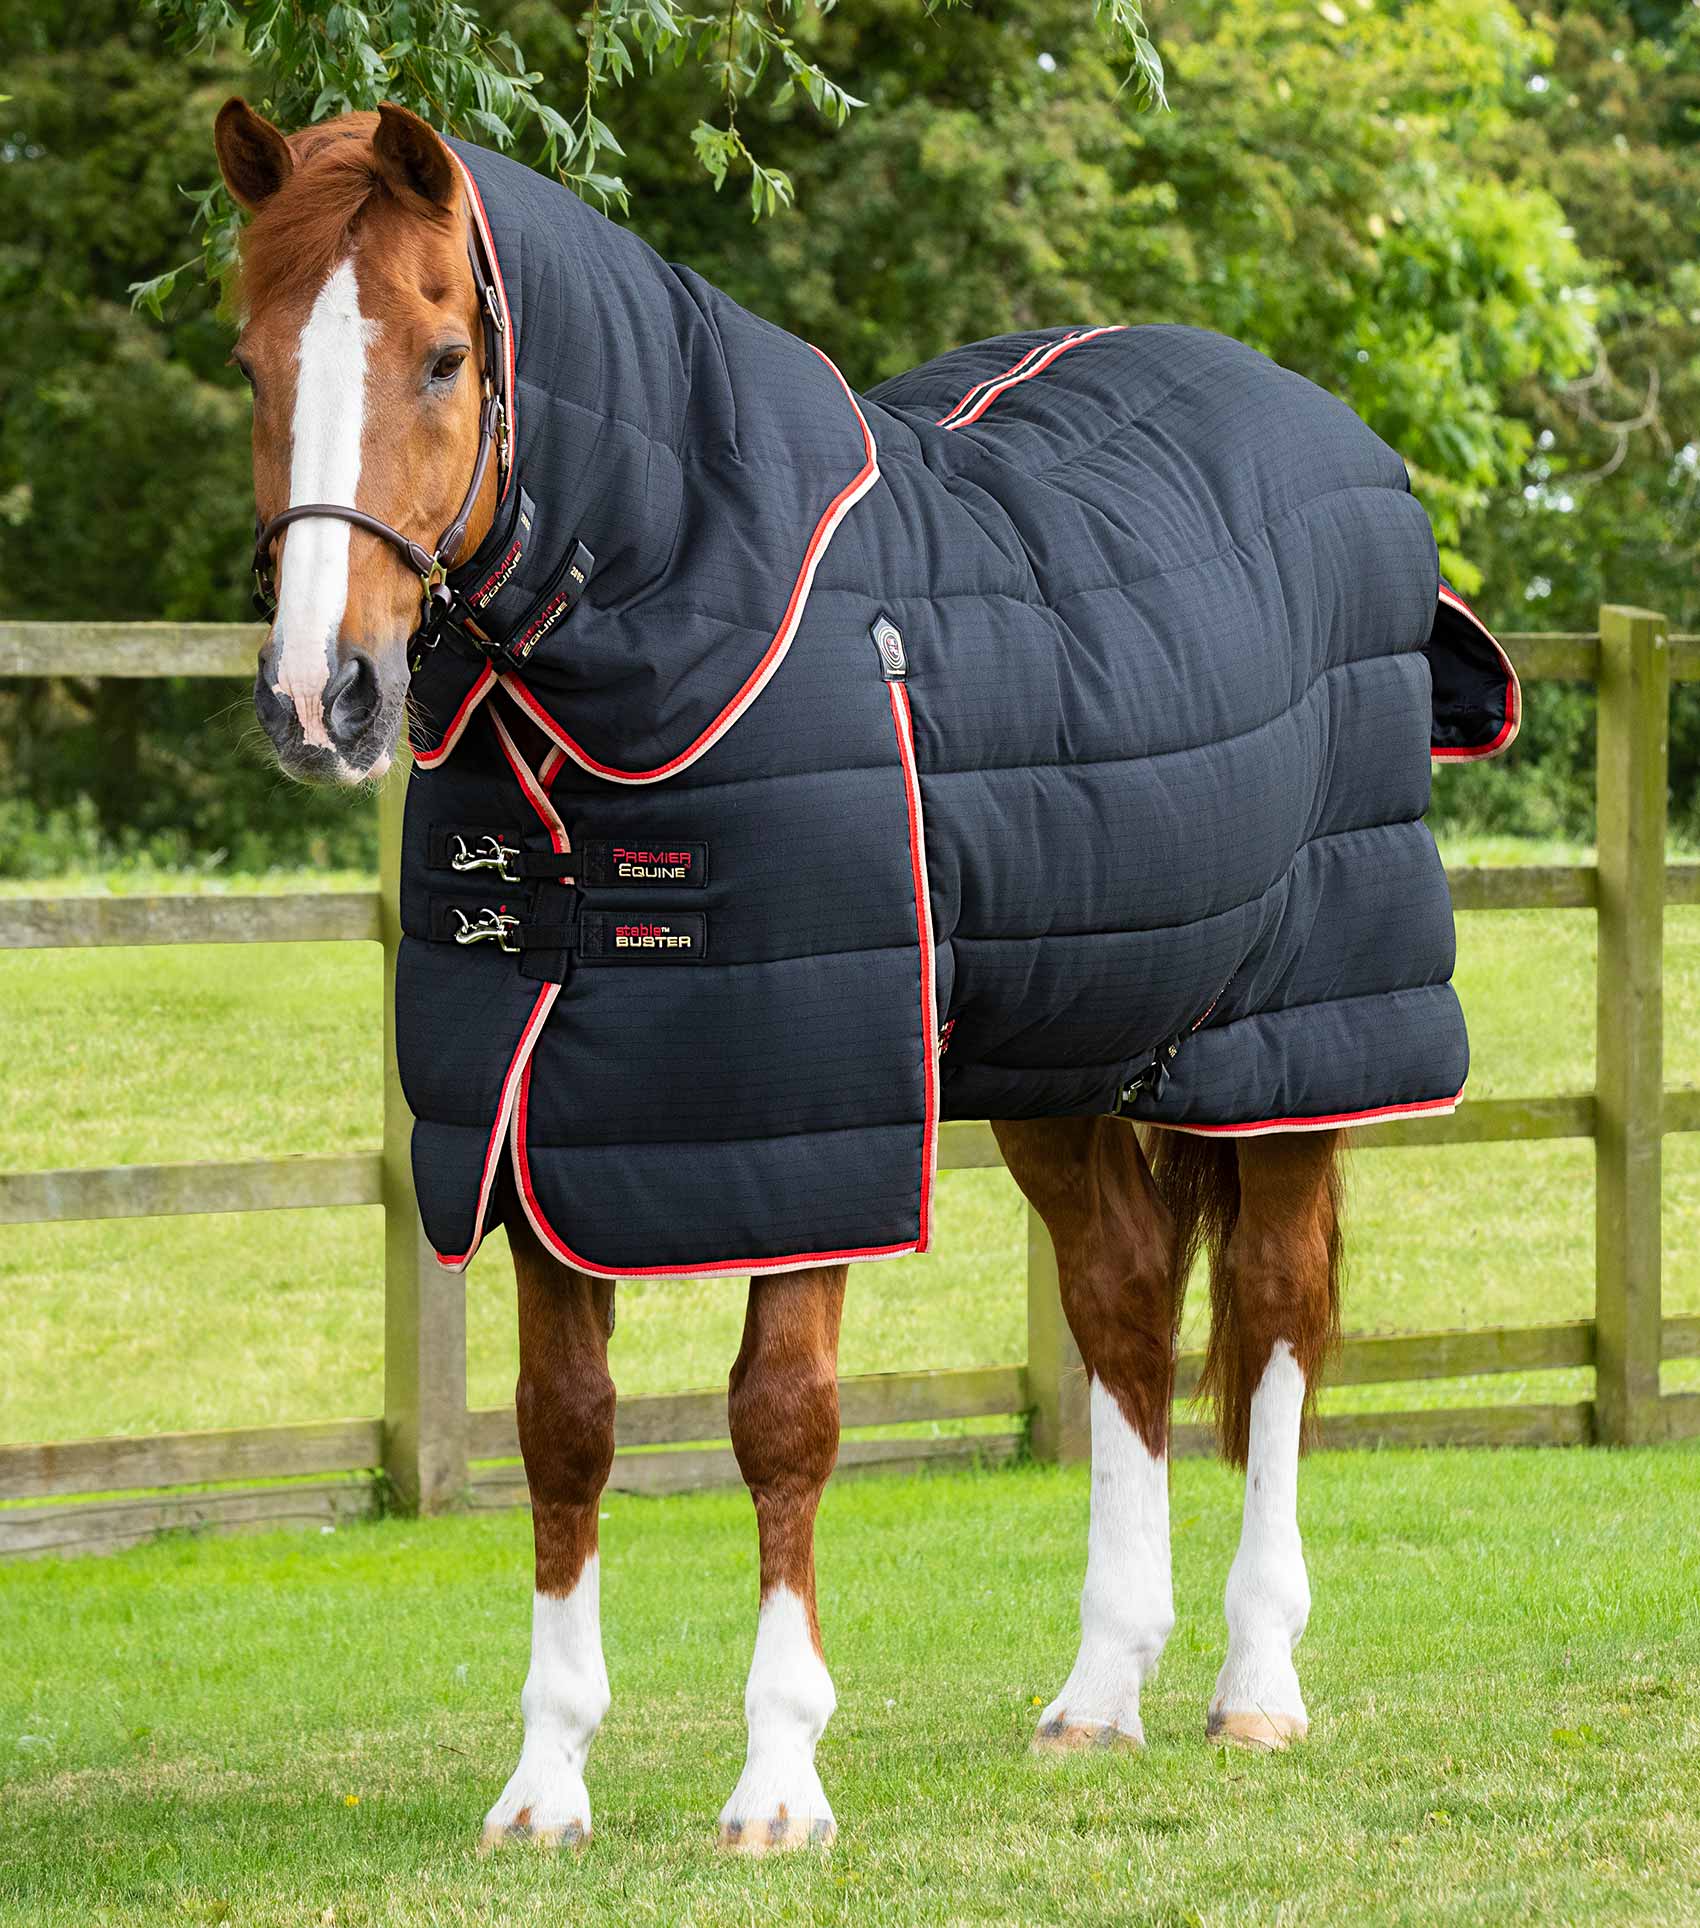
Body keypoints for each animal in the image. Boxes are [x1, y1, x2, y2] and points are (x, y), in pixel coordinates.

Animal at [212, 96, 1513, 1852]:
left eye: (441, 356)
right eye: (254, 357)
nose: (319, 696)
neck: (689, 620)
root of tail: (1350, 452)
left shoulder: (808, 1133)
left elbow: (783, 1421)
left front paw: (778, 1782)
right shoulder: (540, 1130)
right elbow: (564, 1433)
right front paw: (545, 1786)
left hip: (1297, 1049)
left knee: (1277, 1315)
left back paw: (1256, 1687)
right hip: (1062, 1054)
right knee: (1121, 1303)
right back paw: (1102, 1694)